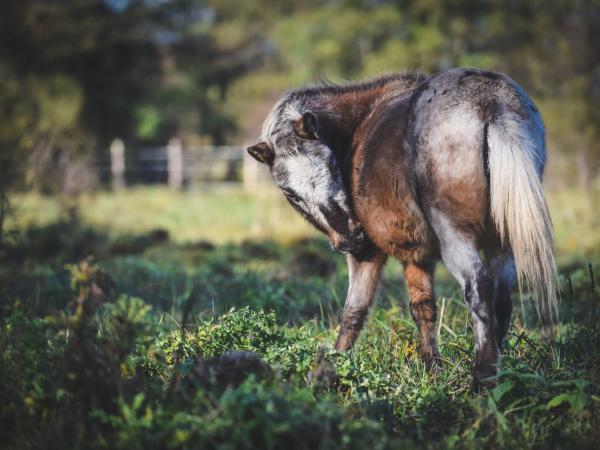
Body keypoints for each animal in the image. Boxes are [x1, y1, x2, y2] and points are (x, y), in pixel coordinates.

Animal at [246, 68, 556, 384]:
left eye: (332, 165)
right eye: (290, 193)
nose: (350, 238)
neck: (360, 122)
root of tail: (489, 102)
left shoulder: (368, 255)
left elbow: (353, 313)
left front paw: (330, 369)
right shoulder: (417, 256)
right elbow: (423, 308)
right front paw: (432, 372)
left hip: (456, 237)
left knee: (479, 287)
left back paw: (482, 378)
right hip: (500, 241)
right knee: (502, 298)